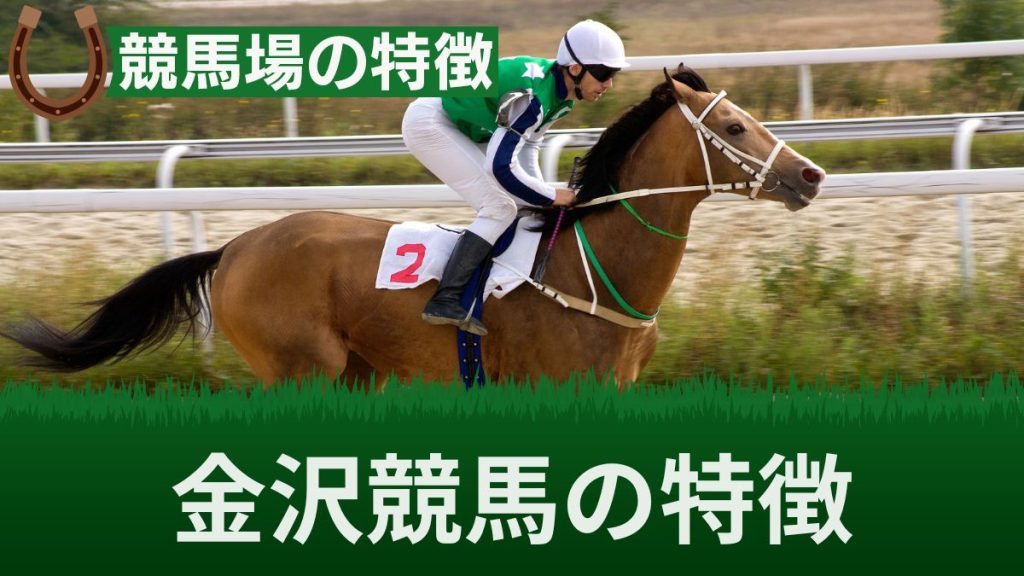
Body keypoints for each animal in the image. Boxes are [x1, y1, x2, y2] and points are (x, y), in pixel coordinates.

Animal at [2, 66, 825, 387]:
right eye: (732, 126)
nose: (811, 175)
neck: (594, 273)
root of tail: (234, 246)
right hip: (303, 370)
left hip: (356, 371)